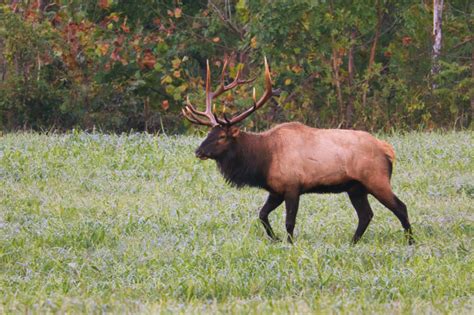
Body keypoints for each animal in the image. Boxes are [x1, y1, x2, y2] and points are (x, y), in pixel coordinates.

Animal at [183, 59, 412, 246]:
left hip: (376, 178)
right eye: (209, 132)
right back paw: (352, 242)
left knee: (400, 207)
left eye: (222, 136)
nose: (198, 151)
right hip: (355, 188)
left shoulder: (293, 186)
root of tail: (387, 149)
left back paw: (410, 241)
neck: (263, 161)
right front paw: (275, 239)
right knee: (366, 214)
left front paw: (289, 243)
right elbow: (262, 215)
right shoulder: (276, 189)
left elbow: (289, 222)